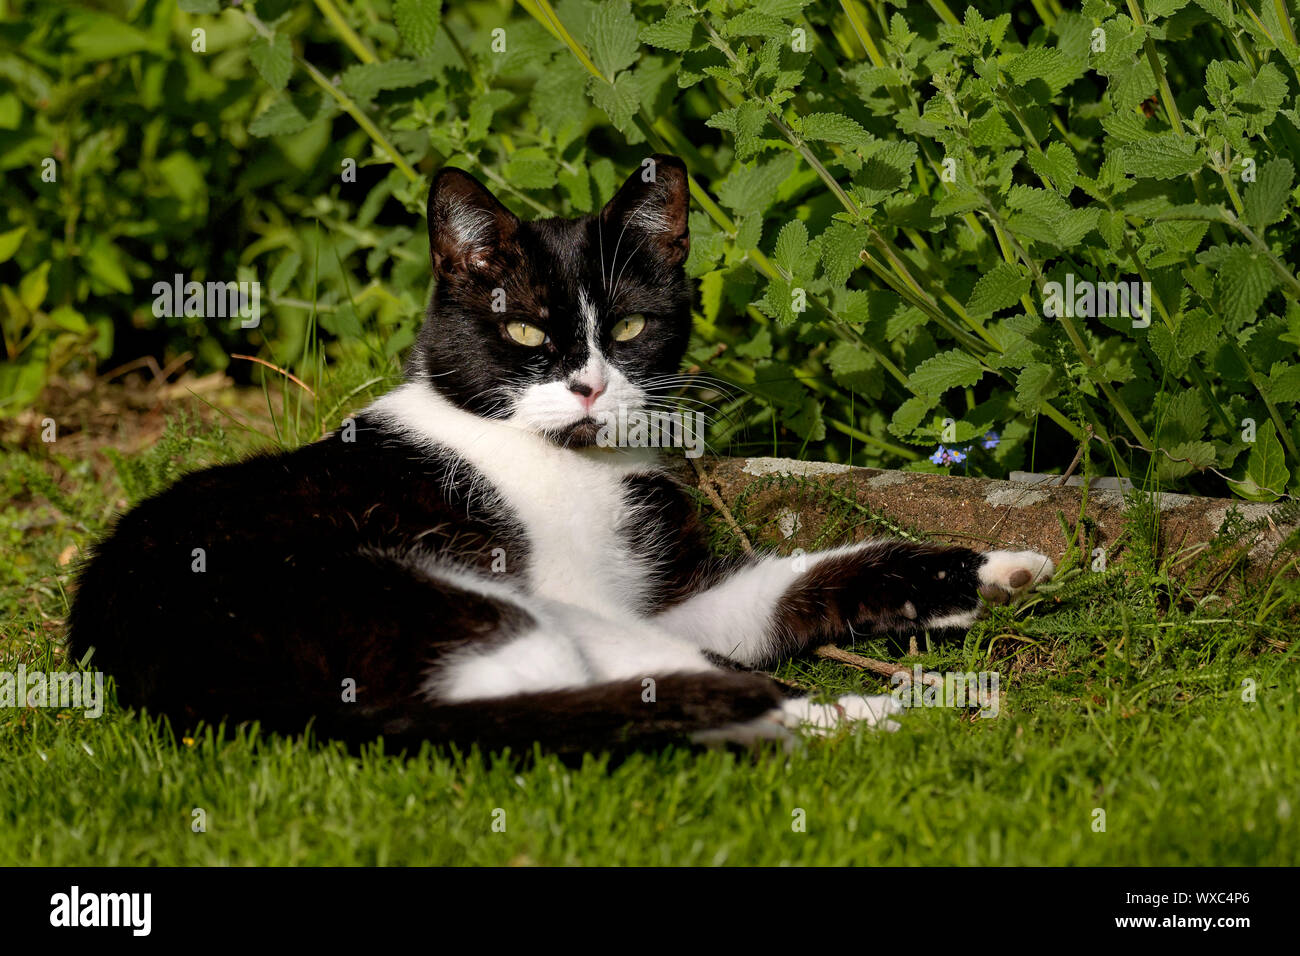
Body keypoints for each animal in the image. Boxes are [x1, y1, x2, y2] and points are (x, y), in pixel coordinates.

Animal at [65, 155, 1050, 754]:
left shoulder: (673, 601)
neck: (582, 466)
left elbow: (790, 584)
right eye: (527, 330)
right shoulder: (590, 603)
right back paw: (887, 712)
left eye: (631, 328)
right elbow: (702, 659)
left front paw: (988, 570)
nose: (588, 387)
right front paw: (897, 686)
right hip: (463, 603)